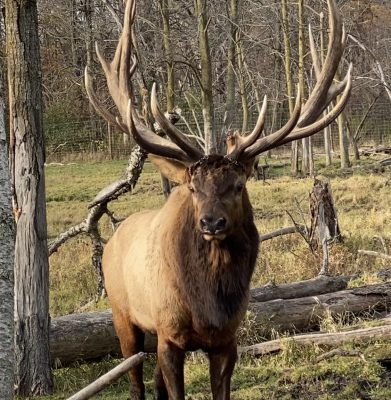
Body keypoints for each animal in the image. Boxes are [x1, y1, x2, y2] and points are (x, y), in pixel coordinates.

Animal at [85, 0, 352, 396]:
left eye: (238, 185)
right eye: (193, 188)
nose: (212, 222)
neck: (208, 305)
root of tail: (114, 238)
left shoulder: (227, 338)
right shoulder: (169, 334)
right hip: (122, 313)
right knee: (136, 380)